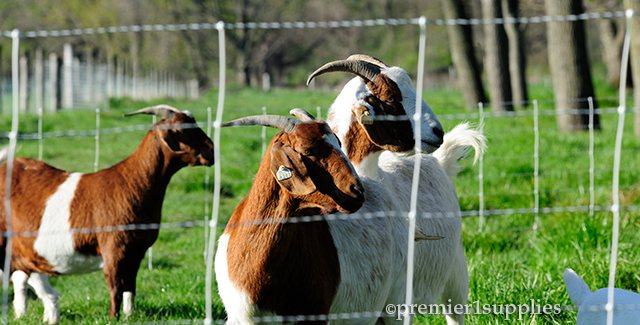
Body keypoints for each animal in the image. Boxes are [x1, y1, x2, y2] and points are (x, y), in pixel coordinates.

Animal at [0, 105, 215, 322]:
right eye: (181, 130)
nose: (212, 152)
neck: (132, 183)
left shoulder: (136, 251)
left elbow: (130, 287)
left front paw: (128, 316)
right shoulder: (113, 248)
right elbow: (115, 288)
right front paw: (113, 318)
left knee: (26, 280)